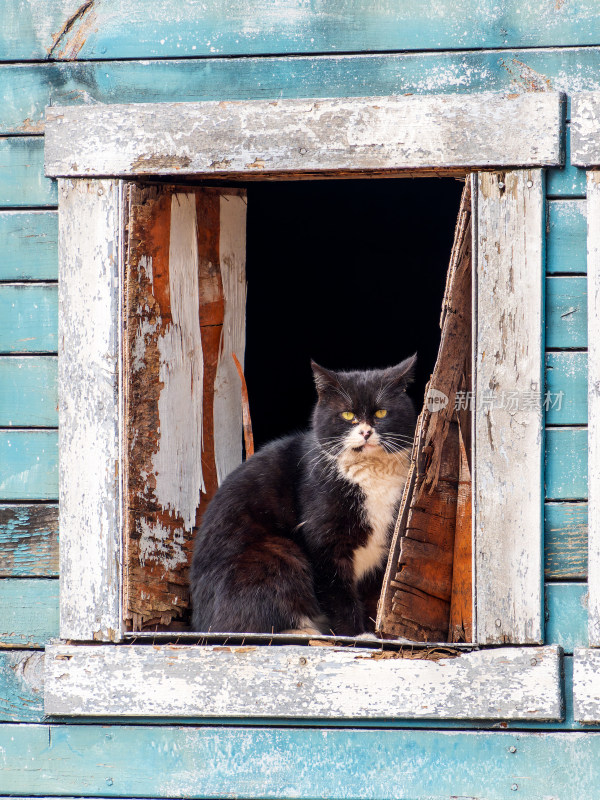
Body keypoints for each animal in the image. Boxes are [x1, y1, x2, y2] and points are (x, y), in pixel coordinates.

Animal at [190, 356, 414, 636]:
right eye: (348, 414)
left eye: (381, 413)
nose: (365, 432)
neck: (371, 474)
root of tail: (199, 623)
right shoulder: (325, 540)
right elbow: (338, 594)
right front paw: (355, 634)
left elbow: (374, 592)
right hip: (277, 553)